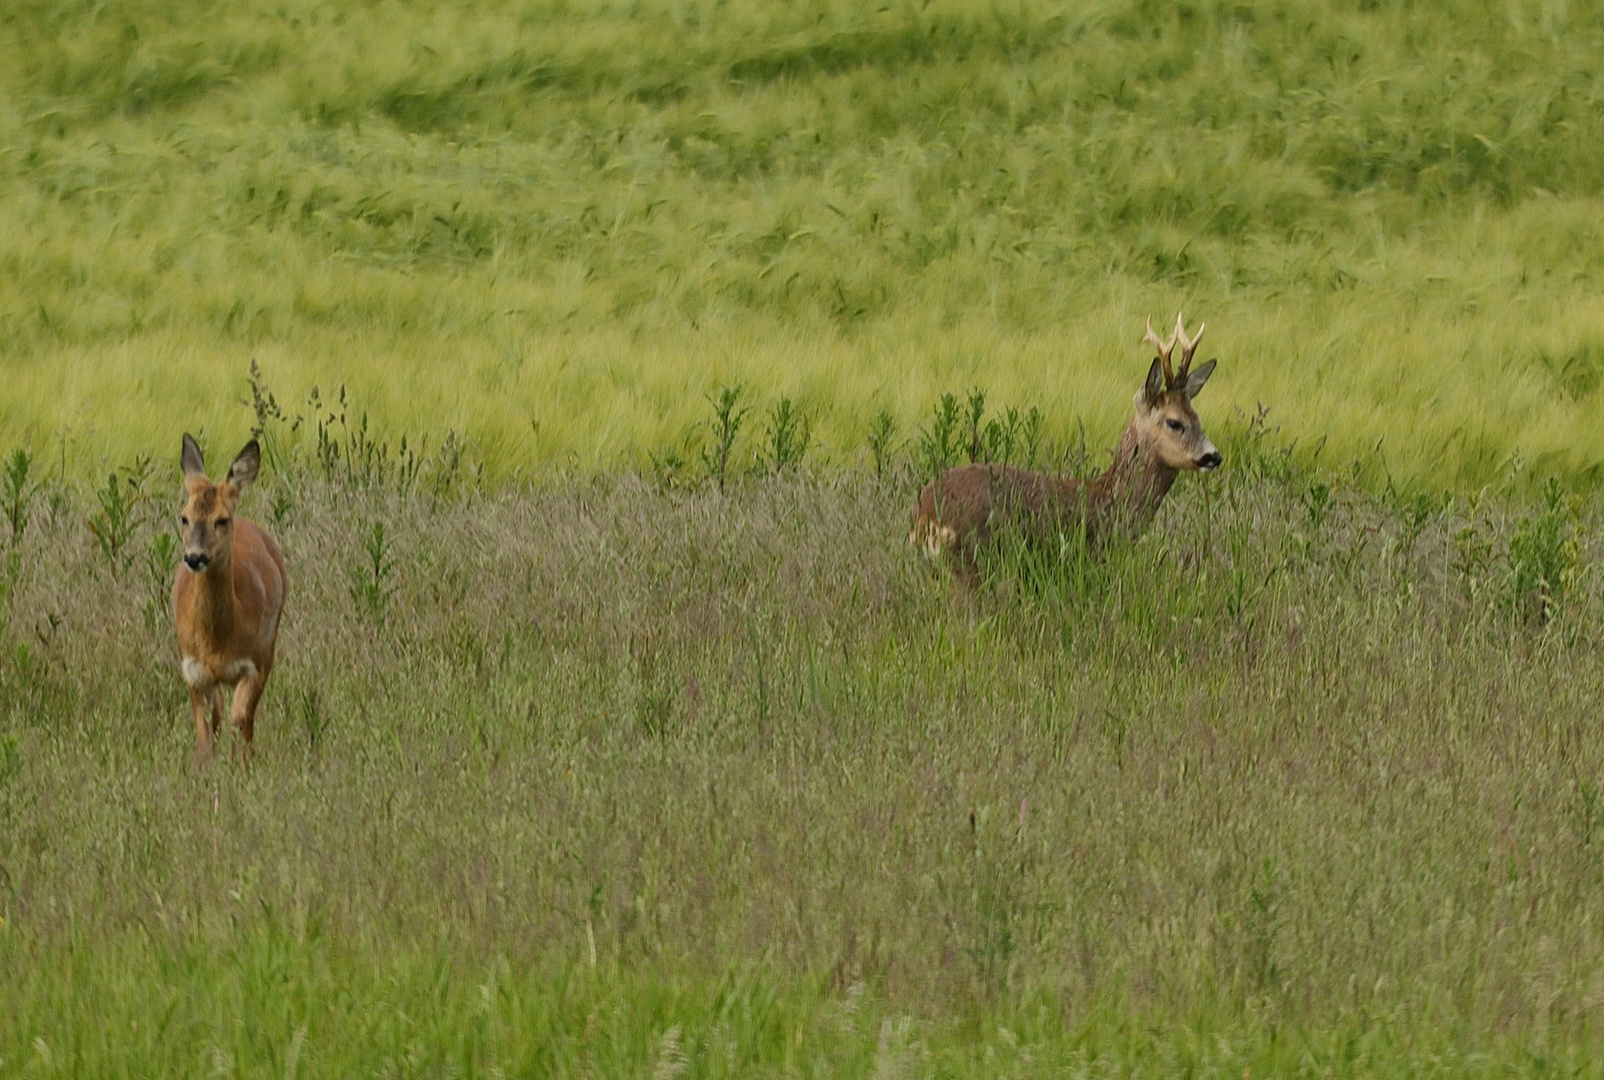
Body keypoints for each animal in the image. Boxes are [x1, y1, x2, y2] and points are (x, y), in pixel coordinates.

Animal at [175, 433, 288, 757]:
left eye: (222, 519)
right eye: (184, 517)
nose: (195, 557)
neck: (217, 643)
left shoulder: (253, 664)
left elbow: (240, 718)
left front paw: (241, 765)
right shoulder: (192, 669)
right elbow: (205, 730)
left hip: (270, 646)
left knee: (247, 719)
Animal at [911, 314, 1219, 580]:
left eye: (1198, 417)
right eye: (1174, 422)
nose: (1214, 456)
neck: (1110, 499)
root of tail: (926, 512)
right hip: (969, 562)